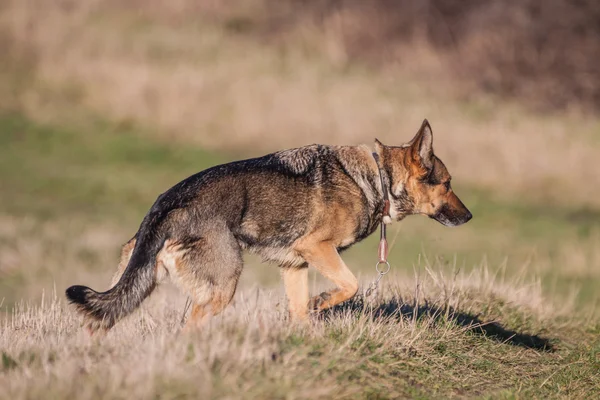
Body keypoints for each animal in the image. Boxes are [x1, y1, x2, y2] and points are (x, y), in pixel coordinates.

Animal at [64, 119, 468, 332]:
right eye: (448, 184)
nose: (469, 217)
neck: (380, 179)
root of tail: (166, 205)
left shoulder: (296, 266)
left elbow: (301, 312)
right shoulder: (317, 249)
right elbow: (350, 285)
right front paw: (324, 301)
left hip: (136, 284)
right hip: (223, 285)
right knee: (191, 323)